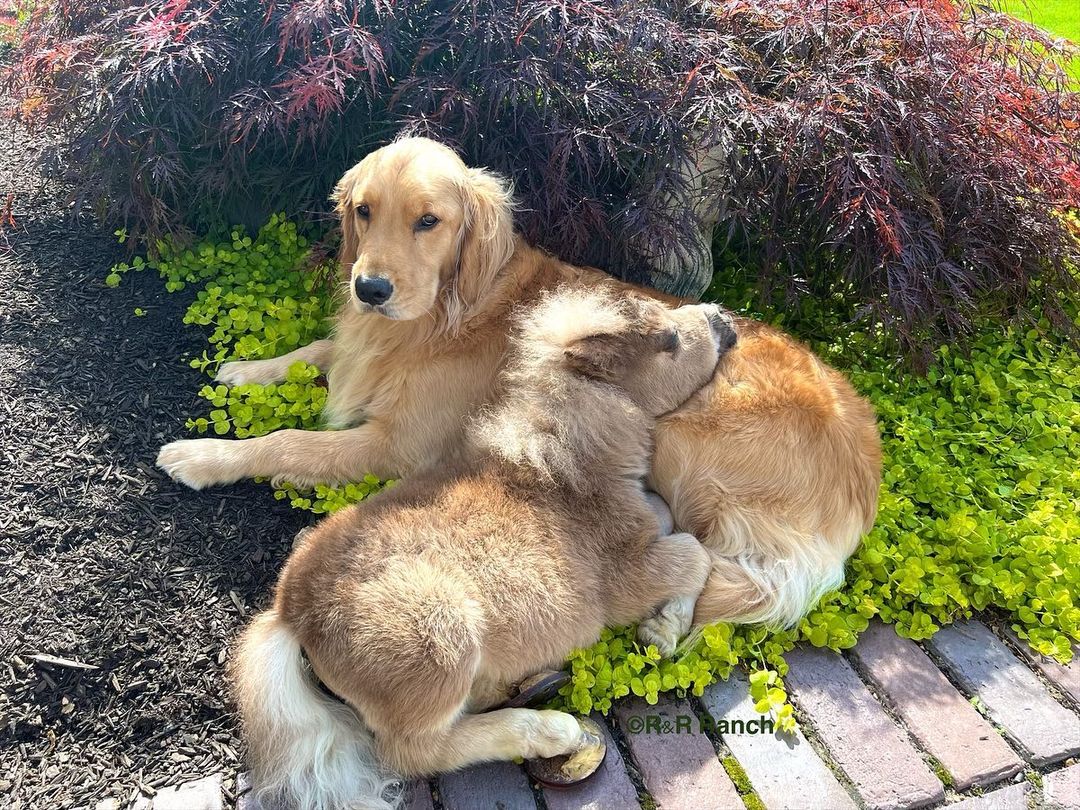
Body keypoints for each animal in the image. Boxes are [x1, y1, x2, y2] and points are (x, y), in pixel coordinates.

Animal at [162, 138, 885, 635]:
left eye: (428, 221)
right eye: (364, 212)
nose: (369, 289)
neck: (449, 310)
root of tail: (864, 472)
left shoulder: (395, 446)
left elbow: (286, 439)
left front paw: (203, 455)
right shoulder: (355, 353)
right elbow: (314, 350)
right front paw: (245, 370)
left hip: (684, 442)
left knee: (698, 551)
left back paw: (666, 619)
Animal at [227, 289, 734, 810]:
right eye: (669, 341)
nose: (721, 318)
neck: (566, 461)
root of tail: (290, 612)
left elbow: (669, 517)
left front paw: (663, 626)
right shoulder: (625, 576)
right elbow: (695, 550)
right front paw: (664, 632)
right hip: (440, 640)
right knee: (413, 752)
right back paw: (554, 731)